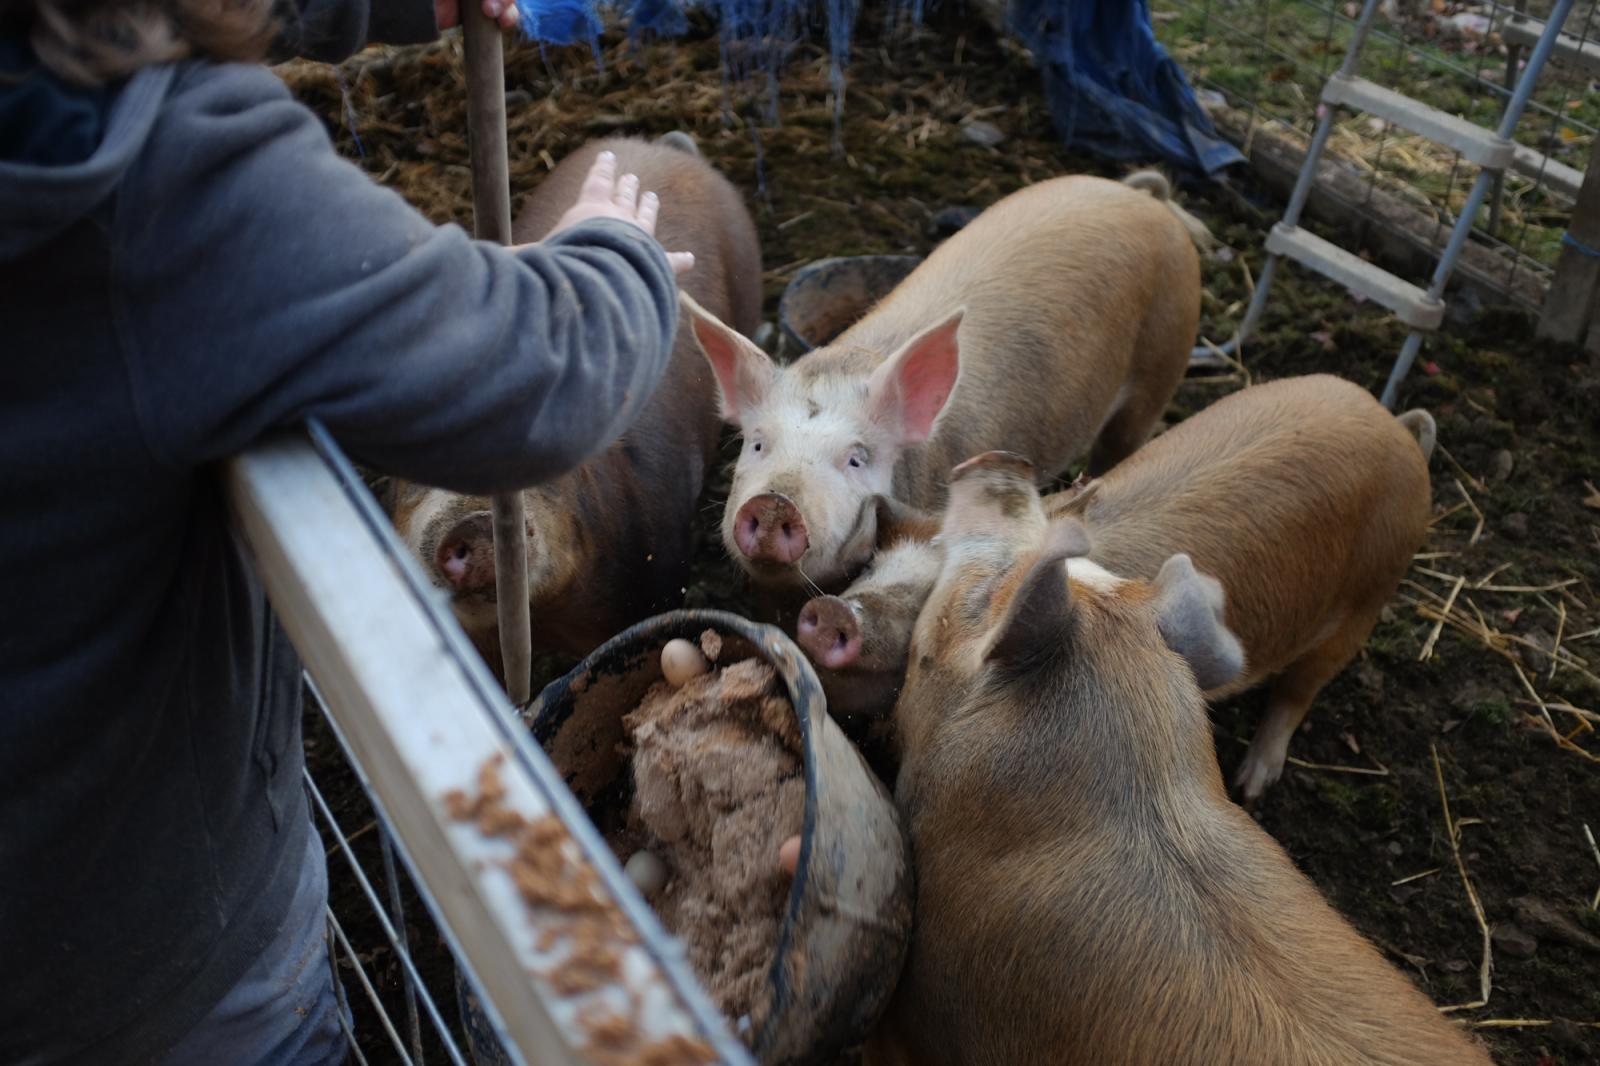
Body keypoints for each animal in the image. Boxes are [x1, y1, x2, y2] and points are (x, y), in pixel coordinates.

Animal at [793, 372, 1433, 797]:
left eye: (930, 610)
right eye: (870, 567)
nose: (835, 614)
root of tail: (1397, 428)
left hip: (1368, 598)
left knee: (1301, 689)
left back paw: (1251, 784)